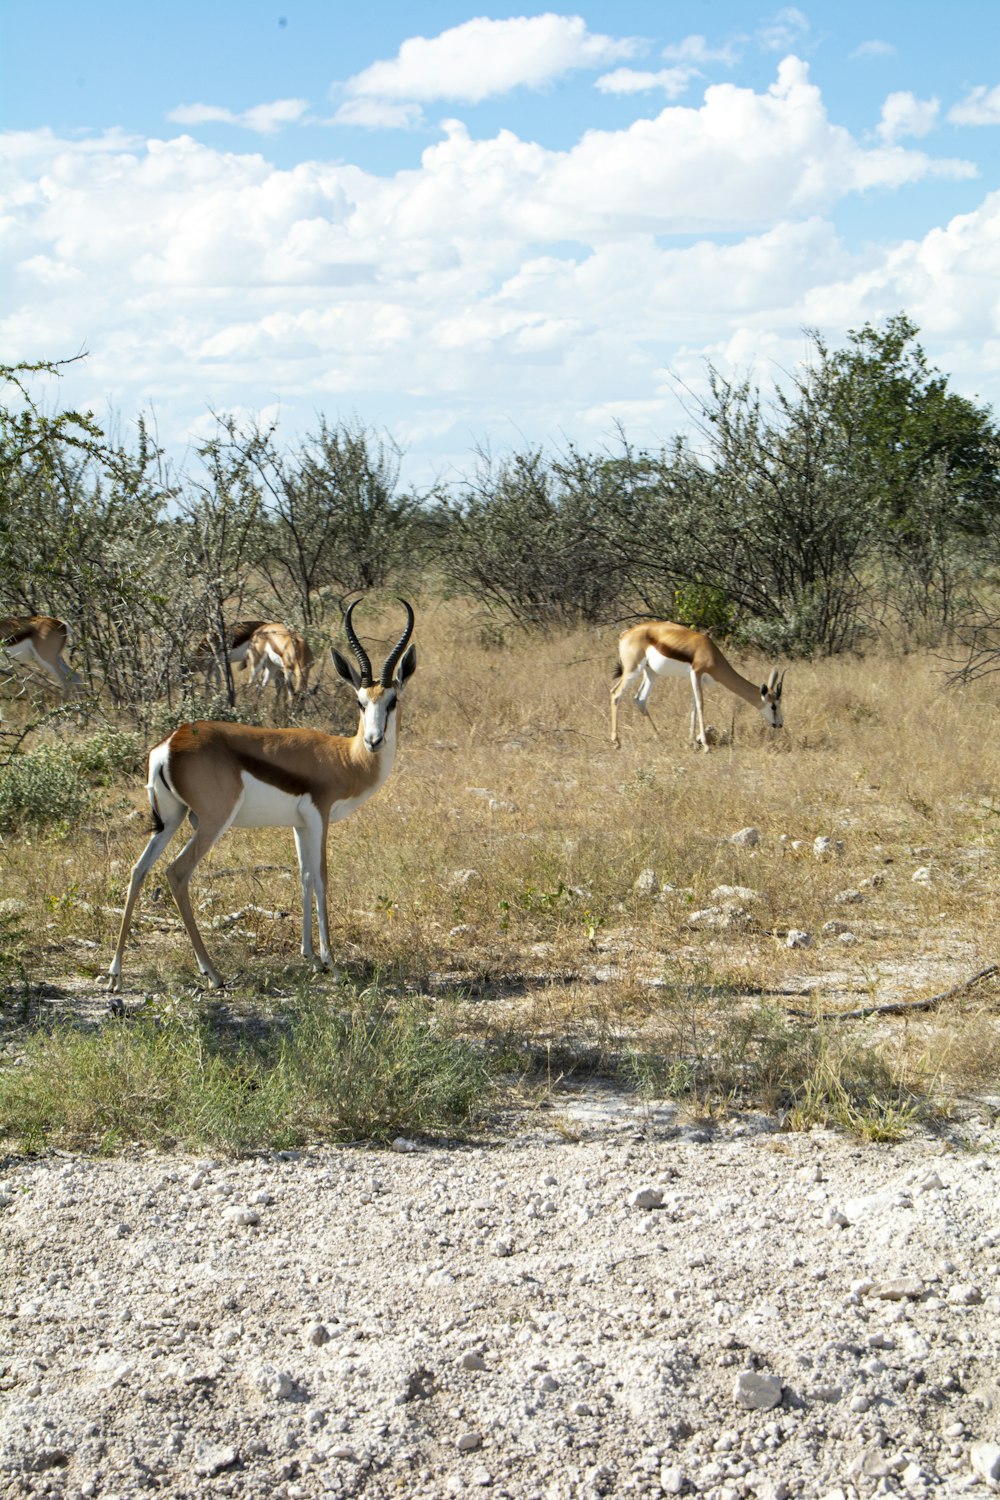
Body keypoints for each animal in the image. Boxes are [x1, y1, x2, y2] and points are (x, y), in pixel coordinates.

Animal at [109, 597, 419, 996]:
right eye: (360, 701)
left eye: (392, 700)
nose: (374, 740)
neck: (345, 758)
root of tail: (170, 743)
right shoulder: (319, 816)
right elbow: (321, 876)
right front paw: (332, 964)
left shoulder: (300, 825)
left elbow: (303, 875)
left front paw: (310, 958)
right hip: (211, 822)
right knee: (176, 872)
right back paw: (213, 973)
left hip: (171, 820)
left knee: (138, 869)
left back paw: (115, 974)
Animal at [614, 618, 785, 750]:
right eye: (773, 706)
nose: (779, 724)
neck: (710, 652)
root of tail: (624, 634)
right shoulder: (696, 673)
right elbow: (700, 705)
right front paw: (706, 746)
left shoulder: (697, 679)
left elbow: (694, 707)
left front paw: (692, 742)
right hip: (632, 670)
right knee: (615, 693)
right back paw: (616, 742)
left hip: (651, 673)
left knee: (640, 699)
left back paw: (659, 736)